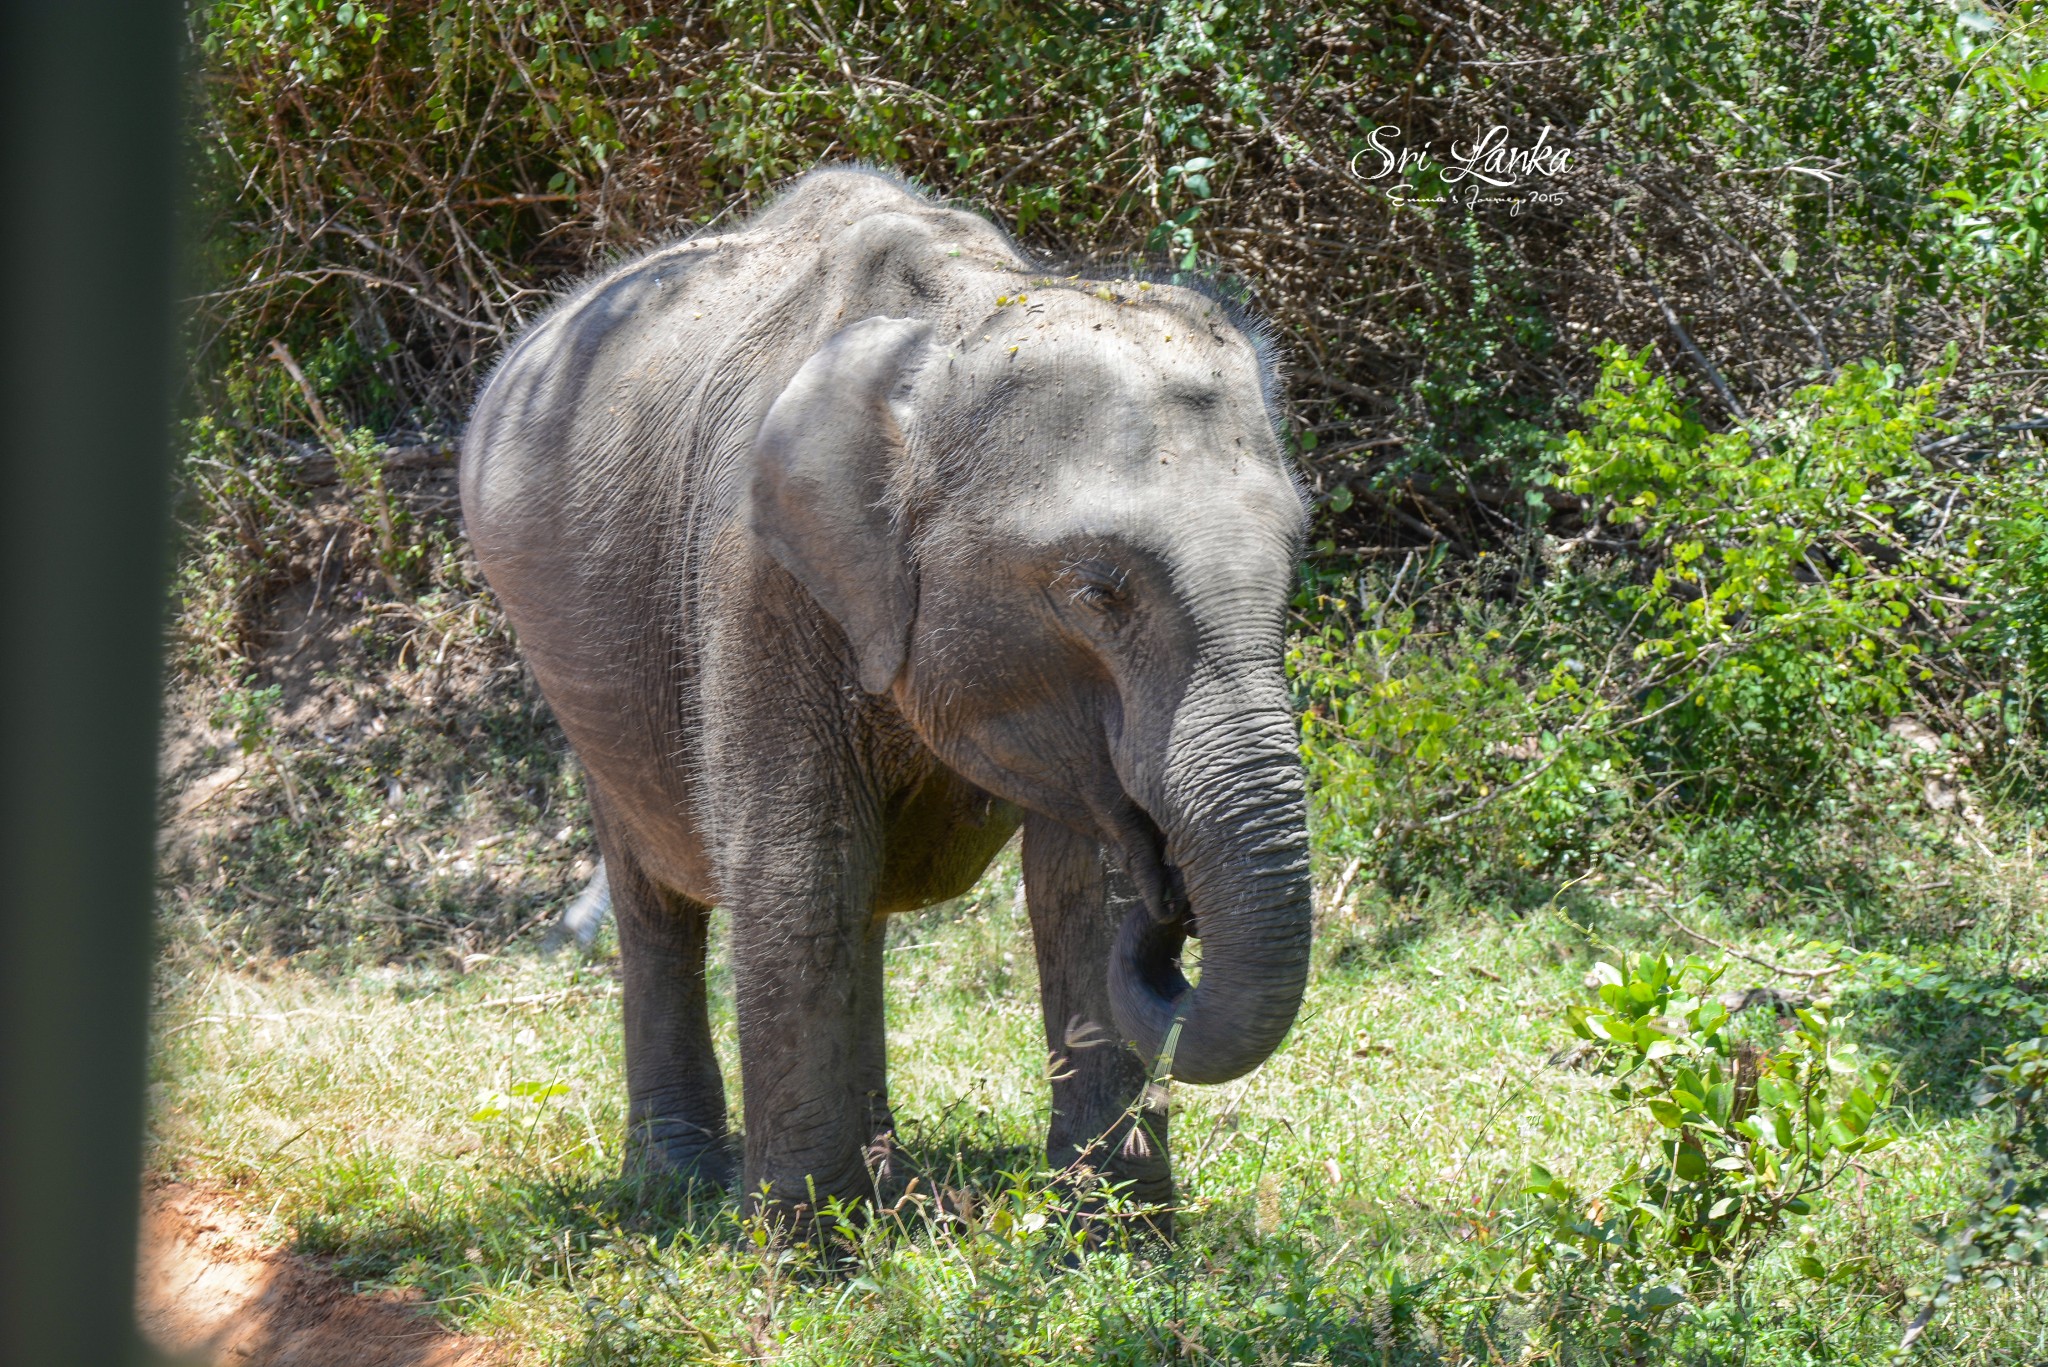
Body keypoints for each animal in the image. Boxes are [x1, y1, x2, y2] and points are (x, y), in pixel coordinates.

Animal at [462, 166, 1310, 1221]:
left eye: (1294, 562)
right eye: (1097, 593)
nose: (1174, 895)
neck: (959, 312)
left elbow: (1075, 884)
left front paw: (1120, 1230)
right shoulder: (759, 572)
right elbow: (798, 862)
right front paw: (805, 1244)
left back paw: (885, 1184)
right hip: (585, 677)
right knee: (659, 893)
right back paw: (686, 1185)